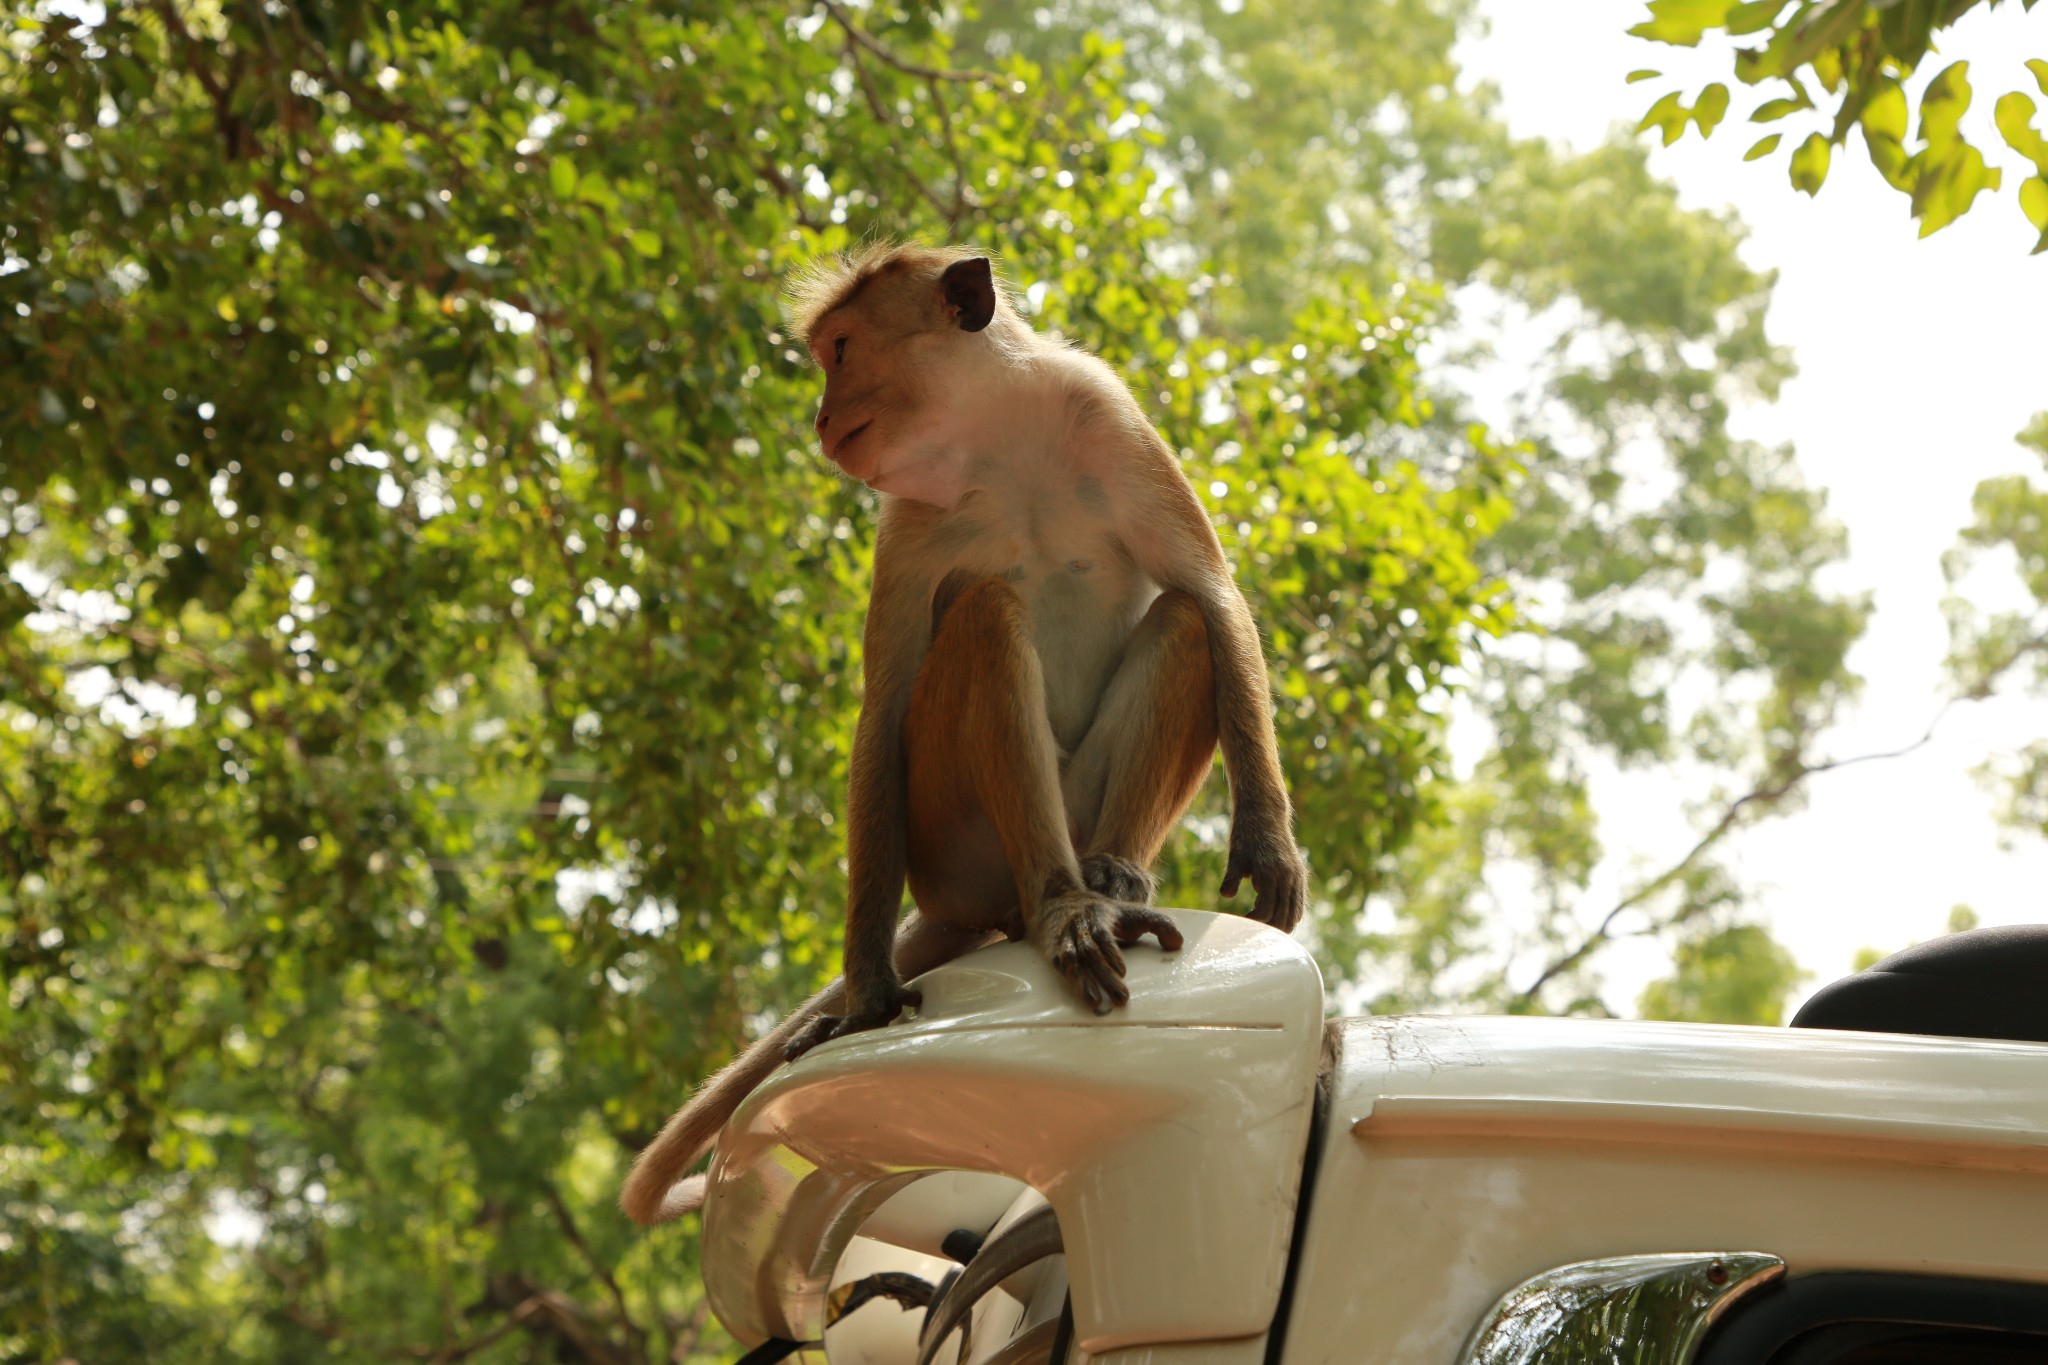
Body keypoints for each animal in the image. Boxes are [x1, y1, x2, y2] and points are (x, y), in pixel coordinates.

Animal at [614, 245, 1302, 1227]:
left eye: (842, 349)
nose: (820, 414)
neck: (998, 444)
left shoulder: (1109, 416)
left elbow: (1210, 594)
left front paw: (1267, 838)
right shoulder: (905, 516)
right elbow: (888, 699)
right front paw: (866, 989)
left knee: (1178, 621)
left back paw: (1110, 878)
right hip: (954, 849)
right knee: (985, 615)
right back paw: (1059, 908)